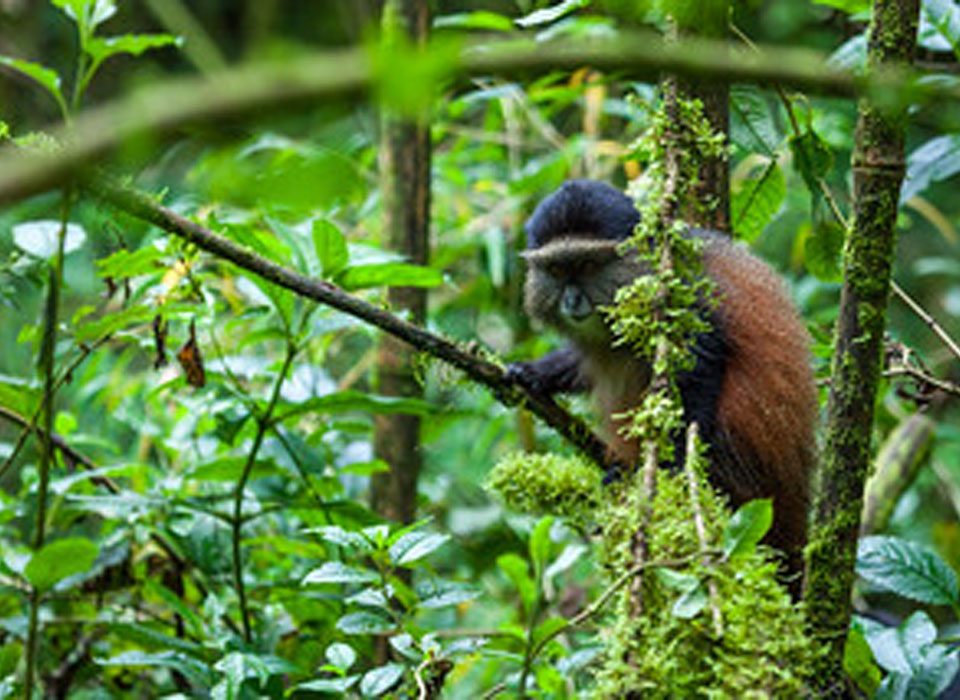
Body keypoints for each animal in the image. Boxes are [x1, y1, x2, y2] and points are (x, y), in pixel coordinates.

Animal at [507, 179, 818, 576]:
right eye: (558, 270)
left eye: (588, 264)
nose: (572, 300)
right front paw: (534, 373)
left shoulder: (682, 299)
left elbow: (701, 367)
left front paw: (672, 474)